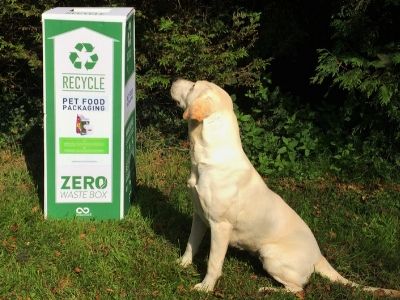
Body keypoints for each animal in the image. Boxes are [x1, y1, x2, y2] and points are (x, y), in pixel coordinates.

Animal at [170, 78, 400, 296]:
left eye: (193, 86)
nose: (174, 80)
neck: (208, 156)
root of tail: (318, 255)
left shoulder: (220, 226)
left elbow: (213, 263)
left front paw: (205, 287)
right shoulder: (199, 216)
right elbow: (191, 244)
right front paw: (182, 264)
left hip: (270, 254)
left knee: (298, 289)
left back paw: (268, 289)